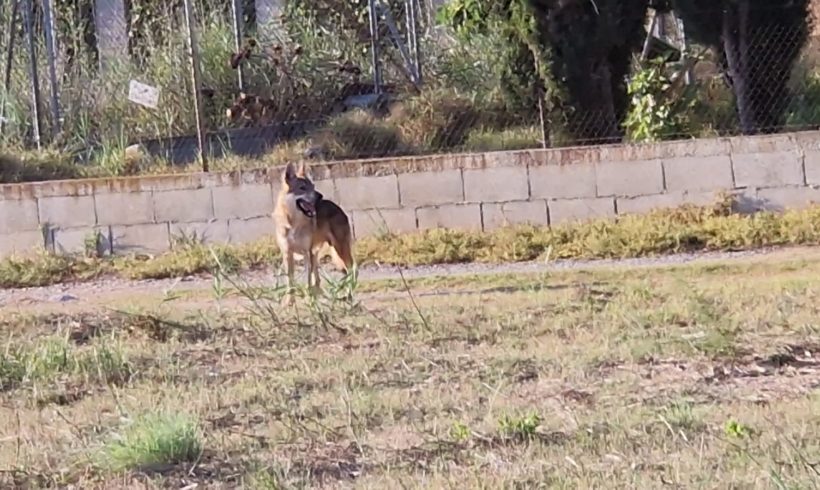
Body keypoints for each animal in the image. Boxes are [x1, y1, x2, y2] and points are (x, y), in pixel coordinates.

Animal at [274, 163, 354, 302]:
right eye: (302, 188)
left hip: (339, 250)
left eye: (313, 186)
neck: (294, 223)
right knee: (317, 278)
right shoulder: (288, 254)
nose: (320, 196)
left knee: (350, 270)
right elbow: (290, 282)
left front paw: (309, 300)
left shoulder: (306, 253)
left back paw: (348, 295)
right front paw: (290, 302)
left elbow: (307, 281)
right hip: (318, 253)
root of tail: (339, 208)